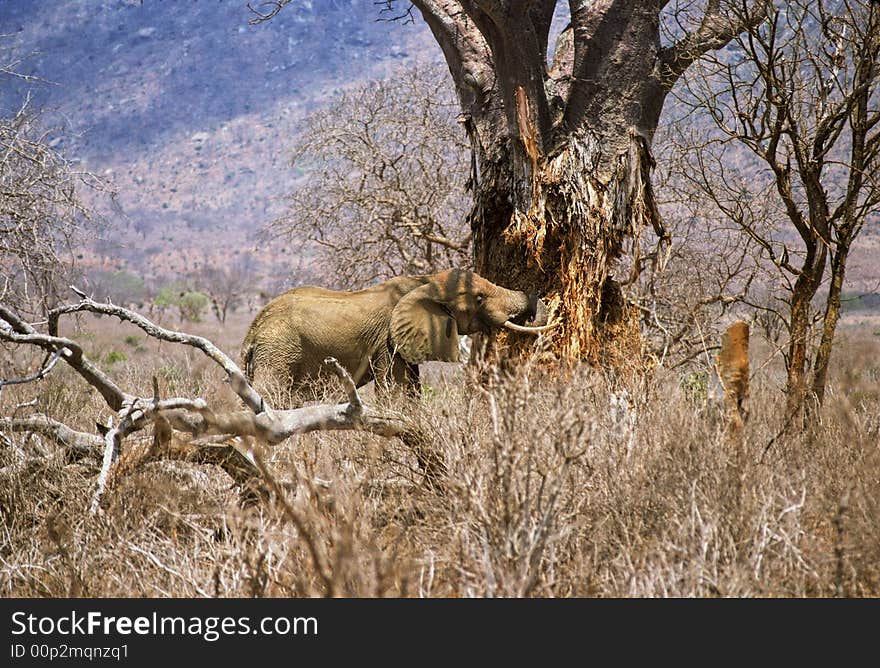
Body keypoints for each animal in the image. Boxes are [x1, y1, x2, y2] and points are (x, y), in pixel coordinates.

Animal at [241, 268, 552, 400]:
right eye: (478, 298)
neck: (425, 281)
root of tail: (252, 332)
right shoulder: (388, 341)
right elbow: (397, 392)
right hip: (279, 352)